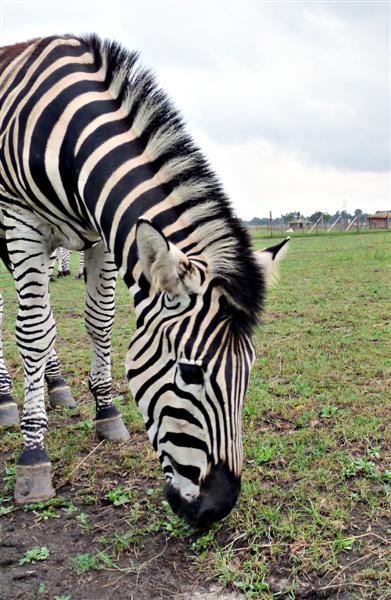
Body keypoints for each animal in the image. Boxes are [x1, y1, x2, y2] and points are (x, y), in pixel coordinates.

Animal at [0, 35, 288, 528]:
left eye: (248, 371)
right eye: (190, 372)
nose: (218, 508)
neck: (69, 139)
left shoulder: (100, 233)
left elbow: (97, 320)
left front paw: (105, 410)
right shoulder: (21, 222)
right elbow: (34, 332)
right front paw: (33, 456)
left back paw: (56, 387)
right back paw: (6, 401)